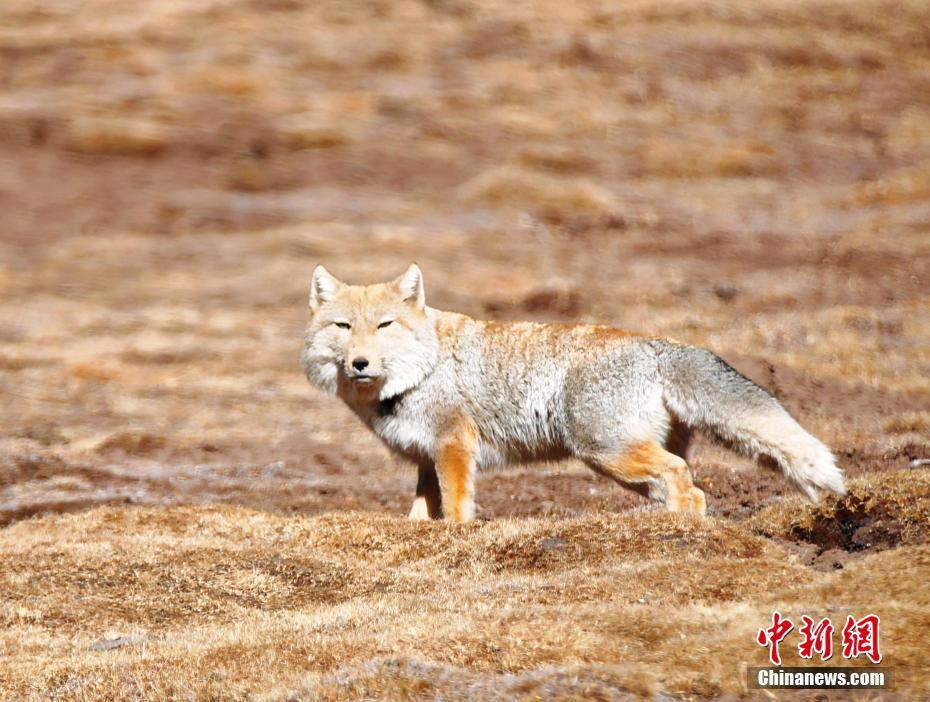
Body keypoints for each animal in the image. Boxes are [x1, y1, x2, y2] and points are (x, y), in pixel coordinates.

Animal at [300, 264, 844, 524]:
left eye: (384, 326)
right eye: (343, 327)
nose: (359, 363)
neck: (420, 370)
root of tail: (658, 344)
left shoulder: (454, 449)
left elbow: (455, 511)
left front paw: (457, 539)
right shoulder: (424, 458)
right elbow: (419, 515)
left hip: (606, 451)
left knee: (687, 483)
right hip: (628, 464)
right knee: (682, 485)